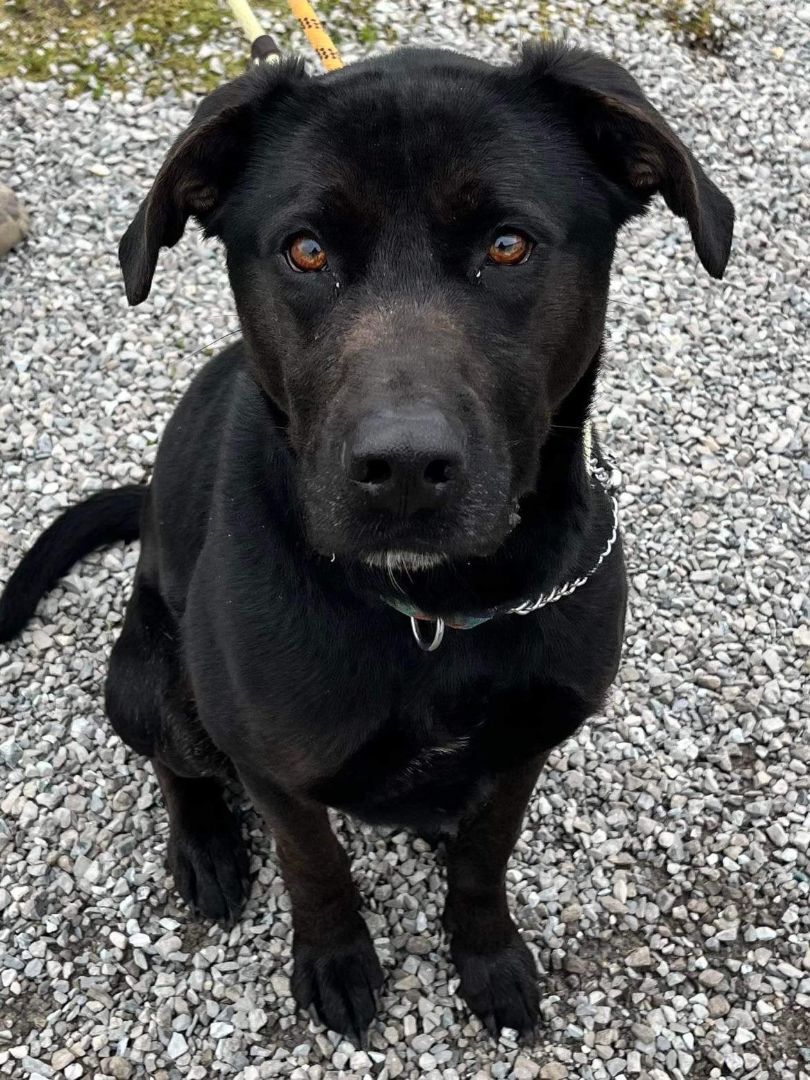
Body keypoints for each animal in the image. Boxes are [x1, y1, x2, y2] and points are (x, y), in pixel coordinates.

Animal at [1, 44, 734, 1045]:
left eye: (508, 245)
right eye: (307, 251)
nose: (405, 469)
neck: (435, 612)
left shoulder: (527, 746)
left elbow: (486, 858)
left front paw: (488, 954)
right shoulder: (272, 766)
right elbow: (316, 865)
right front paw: (336, 959)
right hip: (156, 686)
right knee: (172, 763)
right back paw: (205, 846)